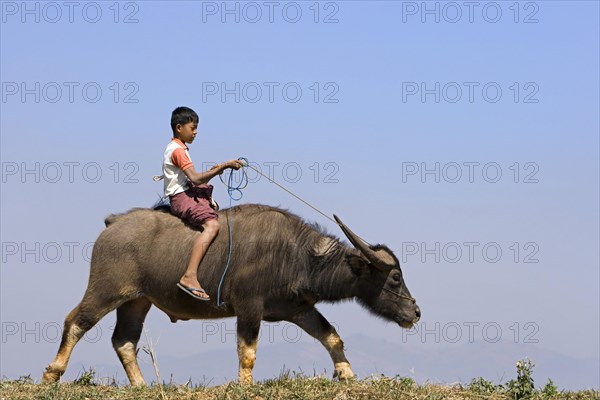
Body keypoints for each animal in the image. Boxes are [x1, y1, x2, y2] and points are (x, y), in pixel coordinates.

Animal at [42, 203, 420, 384]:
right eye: (395, 277)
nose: (415, 312)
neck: (296, 256)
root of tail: (114, 224)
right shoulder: (249, 307)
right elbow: (247, 352)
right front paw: (246, 384)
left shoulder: (298, 309)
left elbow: (332, 336)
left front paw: (347, 374)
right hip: (106, 290)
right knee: (76, 321)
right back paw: (52, 373)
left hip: (137, 301)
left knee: (124, 340)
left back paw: (141, 385)